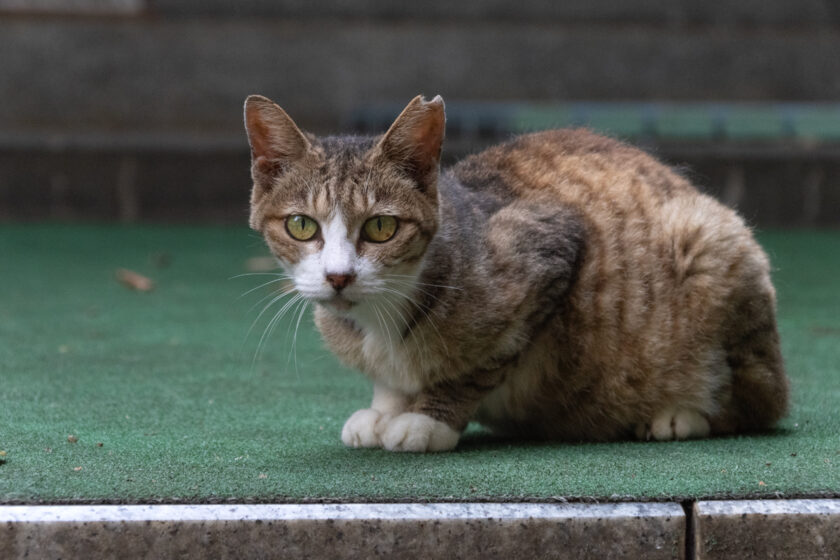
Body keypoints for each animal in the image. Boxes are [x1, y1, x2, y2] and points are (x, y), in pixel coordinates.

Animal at [241, 92, 788, 450]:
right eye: (300, 225)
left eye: (380, 227)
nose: (338, 276)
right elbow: (389, 377)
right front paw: (386, 407)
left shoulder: (549, 250)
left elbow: (481, 364)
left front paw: (426, 419)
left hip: (711, 243)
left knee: (756, 403)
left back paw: (680, 414)